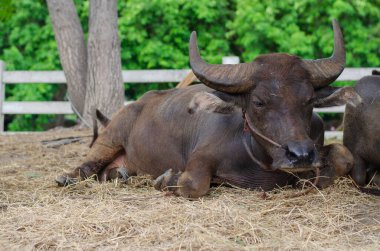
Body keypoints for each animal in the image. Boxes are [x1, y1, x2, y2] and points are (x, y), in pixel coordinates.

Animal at [55, 20, 360, 198]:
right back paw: (66, 177)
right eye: (259, 101)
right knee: (86, 166)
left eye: (308, 100)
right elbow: (193, 184)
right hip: (111, 136)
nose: (301, 155)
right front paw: (168, 179)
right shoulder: (199, 158)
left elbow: (344, 156)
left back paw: (120, 174)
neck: (257, 158)